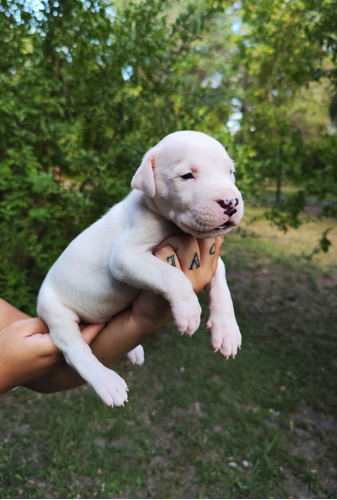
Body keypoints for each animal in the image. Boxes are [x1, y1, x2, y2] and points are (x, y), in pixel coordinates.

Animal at [36, 132, 243, 406]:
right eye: (187, 176)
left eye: (230, 172)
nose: (231, 202)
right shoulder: (126, 257)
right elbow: (172, 275)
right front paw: (188, 311)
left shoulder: (212, 257)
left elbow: (221, 283)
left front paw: (227, 330)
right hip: (55, 312)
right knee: (74, 349)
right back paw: (107, 382)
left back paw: (134, 351)